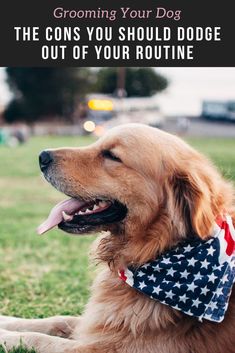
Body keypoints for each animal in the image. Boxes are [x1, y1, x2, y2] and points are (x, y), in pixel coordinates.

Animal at [0, 124, 235, 352]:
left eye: (112, 156)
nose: (42, 156)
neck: (155, 249)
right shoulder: (102, 322)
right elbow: (54, 320)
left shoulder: (105, 347)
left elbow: (37, 338)